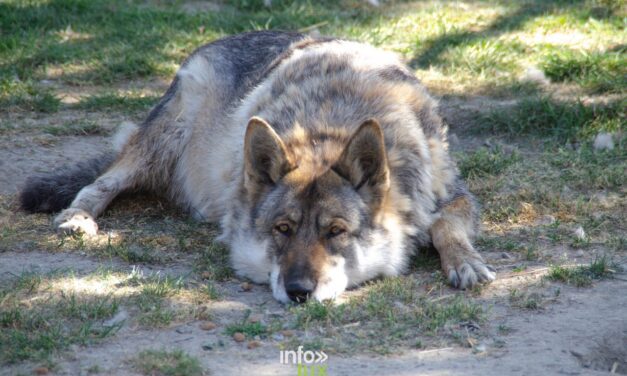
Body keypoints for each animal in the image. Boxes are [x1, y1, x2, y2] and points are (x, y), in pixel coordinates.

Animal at [20, 31, 496, 302]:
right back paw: (79, 219)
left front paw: (465, 262)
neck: (330, 123)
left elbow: (444, 225)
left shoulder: (453, 194)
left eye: (336, 232)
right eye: (282, 229)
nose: (299, 292)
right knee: (100, 183)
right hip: (161, 143)